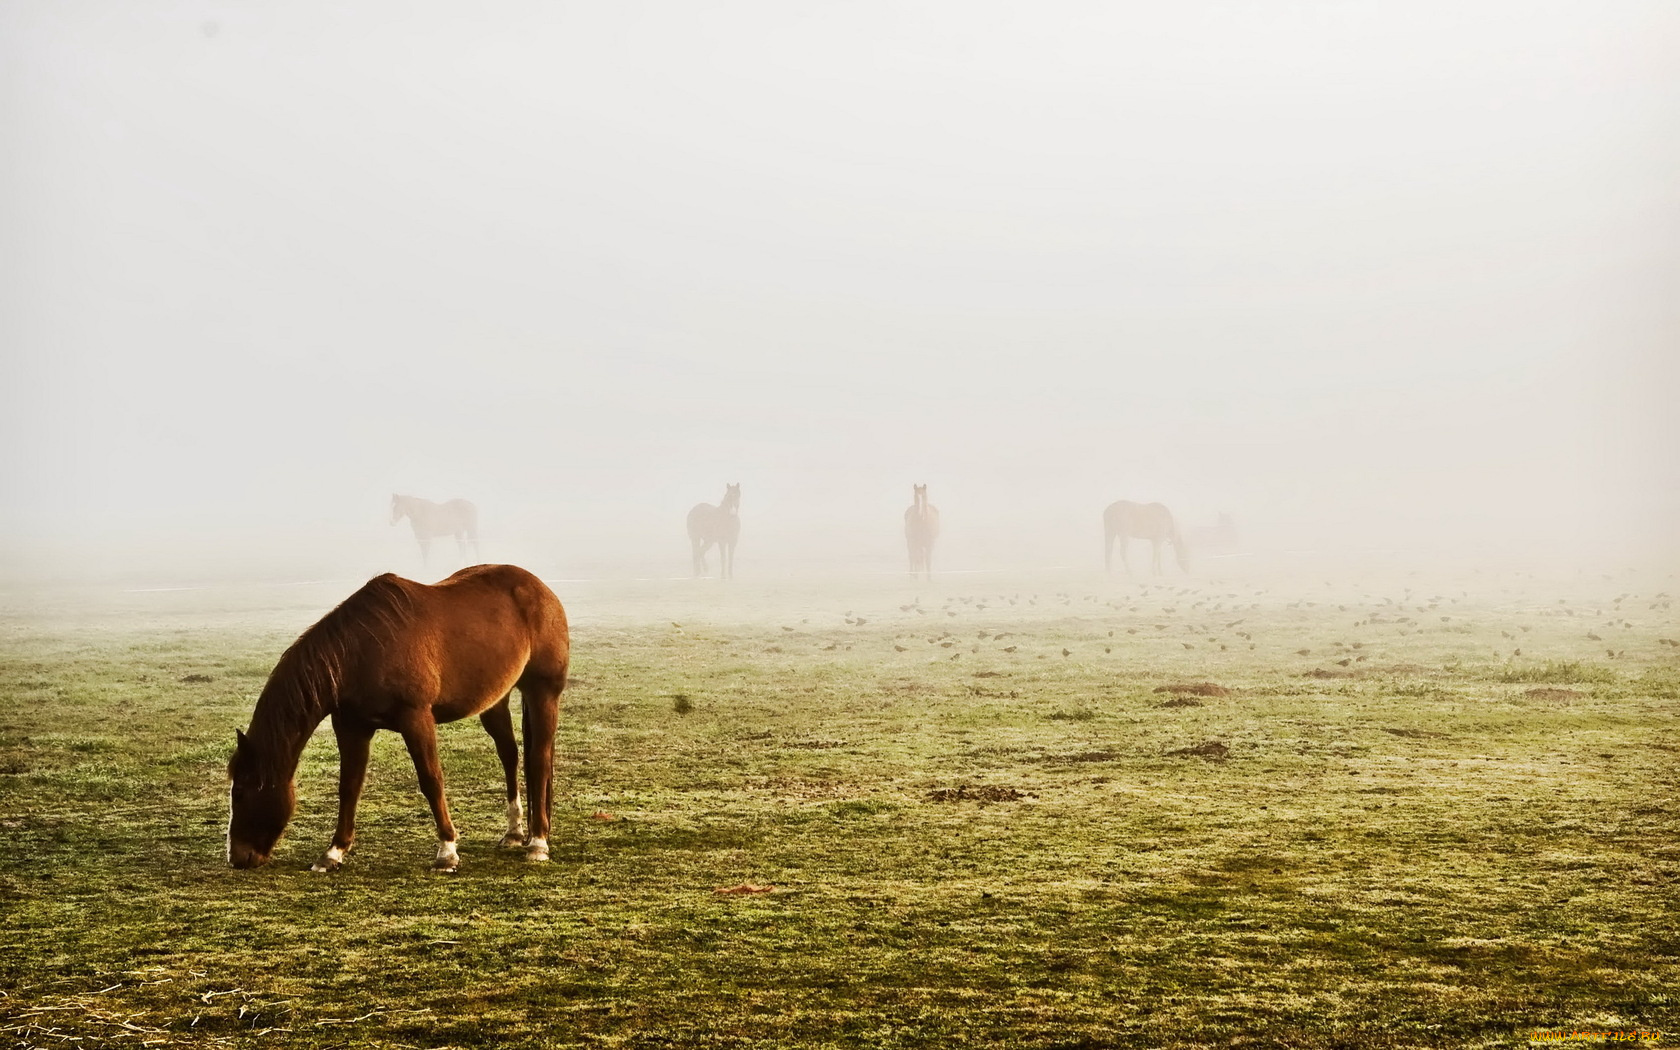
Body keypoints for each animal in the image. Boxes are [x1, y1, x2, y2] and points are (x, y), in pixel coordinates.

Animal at [223, 561, 571, 873]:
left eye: (239, 793)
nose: (236, 858)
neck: (358, 651)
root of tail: (540, 589)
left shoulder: (416, 719)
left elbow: (431, 780)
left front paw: (447, 852)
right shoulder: (351, 726)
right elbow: (349, 787)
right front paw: (333, 853)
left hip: (543, 693)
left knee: (539, 760)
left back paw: (538, 842)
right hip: (495, 700)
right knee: (510, 755)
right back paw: (514, 833)